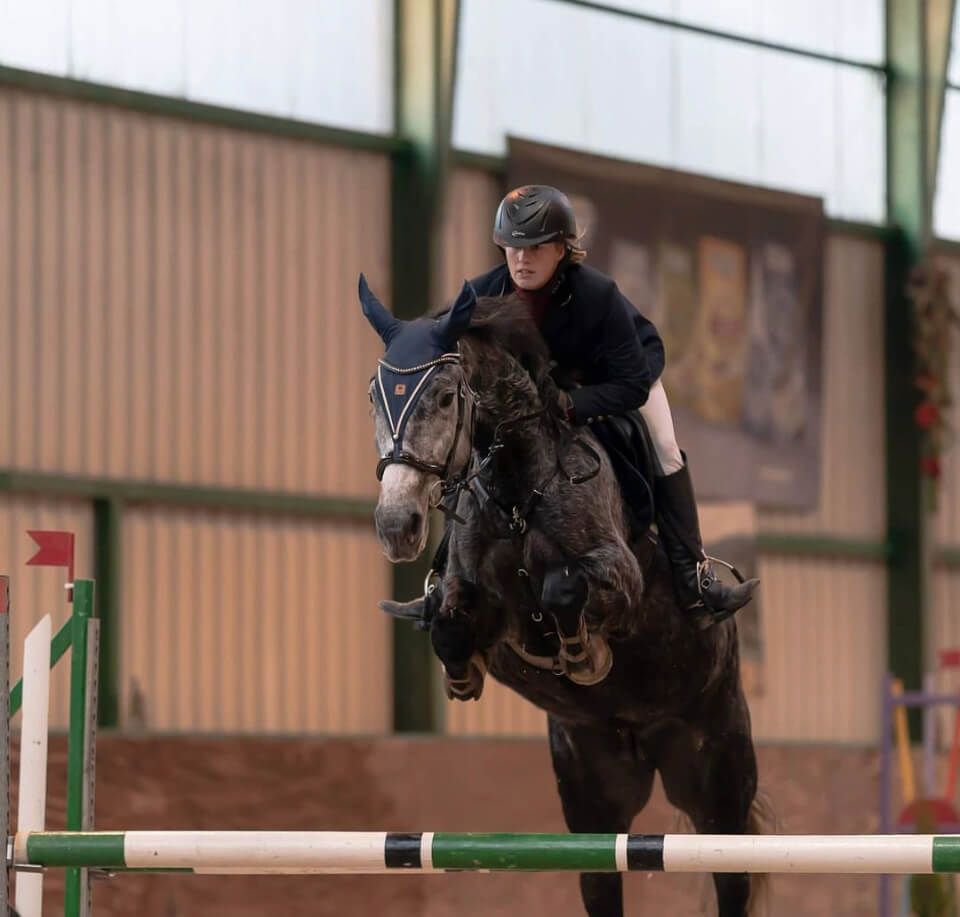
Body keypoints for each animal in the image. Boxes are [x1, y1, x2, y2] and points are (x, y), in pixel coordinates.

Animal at [358, 276, 764, 912]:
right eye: (376, 396)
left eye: (446, 398)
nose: (397, 525)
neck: (518, 489)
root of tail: (641, 740)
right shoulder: (472, 600)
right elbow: (451, 620)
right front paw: (462, 675)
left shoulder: (620, 578)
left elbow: (563, 586)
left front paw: (582, 654)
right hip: (590, 790)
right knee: (601, 874)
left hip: (718, 770)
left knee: (732, 872)